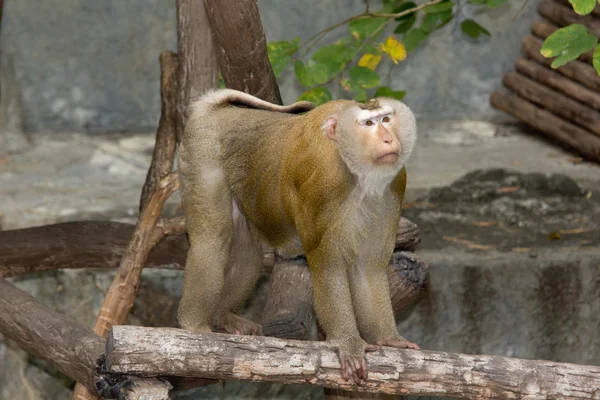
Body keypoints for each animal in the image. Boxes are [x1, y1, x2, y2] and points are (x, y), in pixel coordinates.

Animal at [179, 88, 418, 384]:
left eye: (386, 118)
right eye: (369, 124)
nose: (388, 138)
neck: (357, 174)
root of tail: (217, 110)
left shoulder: (393, 187)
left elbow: (368, 268)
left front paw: (389, 339)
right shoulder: (326, 186)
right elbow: (327, 265)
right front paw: (348, 343)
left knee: (248, 252)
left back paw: (223, 315)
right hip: (202, 155)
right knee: (213, 239)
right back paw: (194, 324)